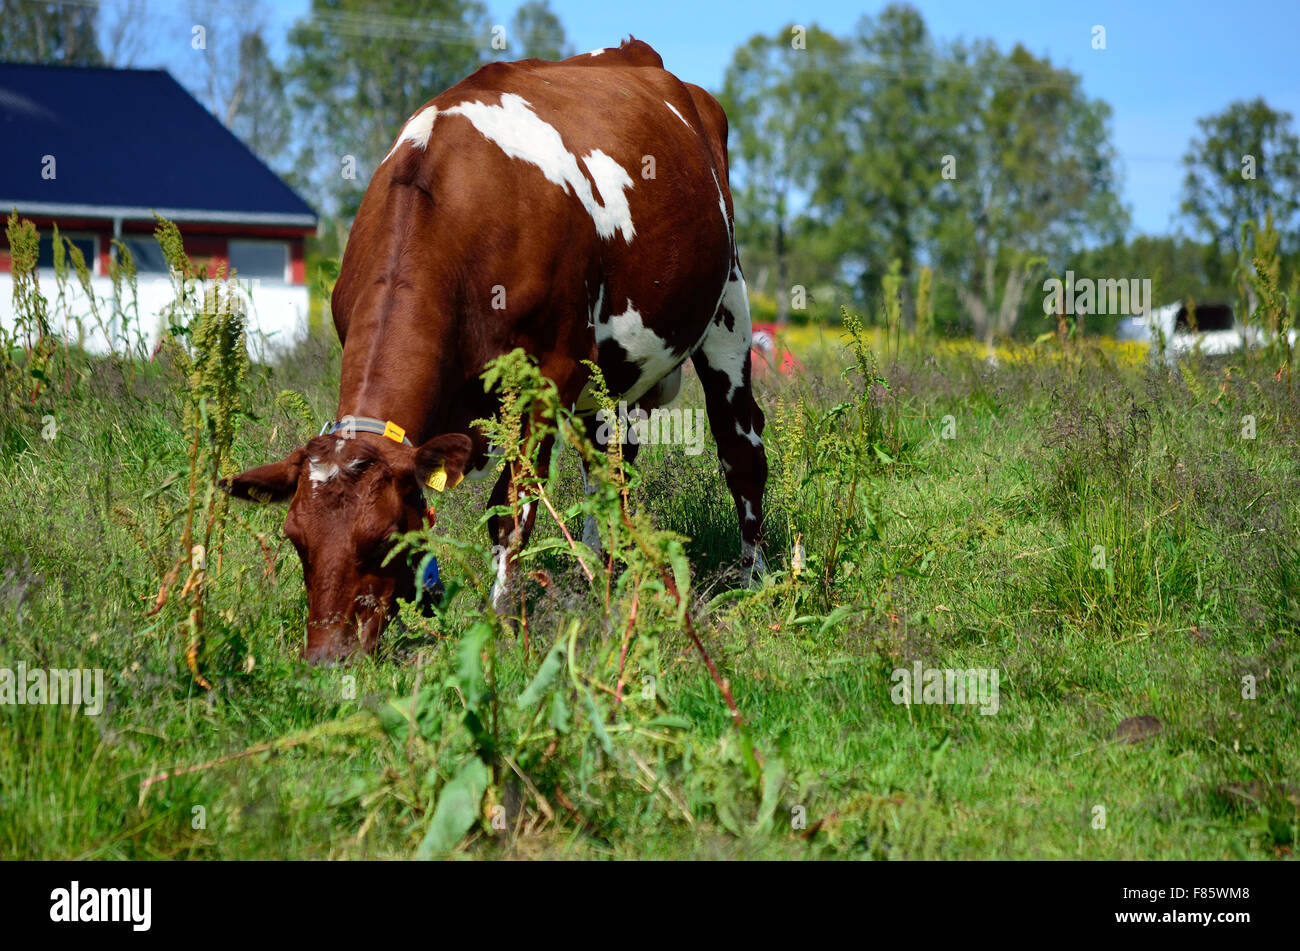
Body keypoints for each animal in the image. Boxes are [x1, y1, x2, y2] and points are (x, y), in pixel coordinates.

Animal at [223, 39, 768, 663]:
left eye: (385, 538)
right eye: (295, 539)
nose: (328, 659)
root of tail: (640, 55)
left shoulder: (549, 373)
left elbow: (511, 506)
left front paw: (502, 624)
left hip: (728, 305)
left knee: (740, 449)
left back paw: (754, 582)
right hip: (614, 373)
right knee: (609, 472)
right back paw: (603, 581)